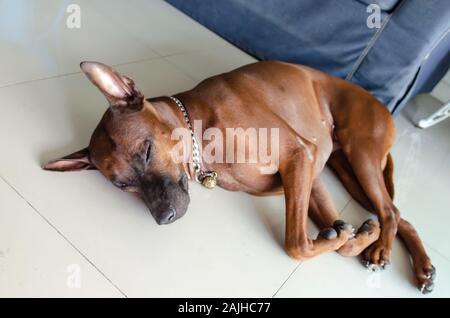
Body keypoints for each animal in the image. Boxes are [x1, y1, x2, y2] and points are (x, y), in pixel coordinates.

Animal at [45, 60, 436, 294]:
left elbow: (296, 244)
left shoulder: (300, 158)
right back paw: (418, 265)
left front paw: (356, 236)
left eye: (146, 151)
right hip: (348, 169)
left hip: (361, 153)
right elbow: (336, 239)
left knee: (391, 211)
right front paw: (352, 234)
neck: (201, 131)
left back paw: (383, 248)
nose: (163, 218)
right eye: (123, 185)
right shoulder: (309, 175)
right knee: (400, 216)